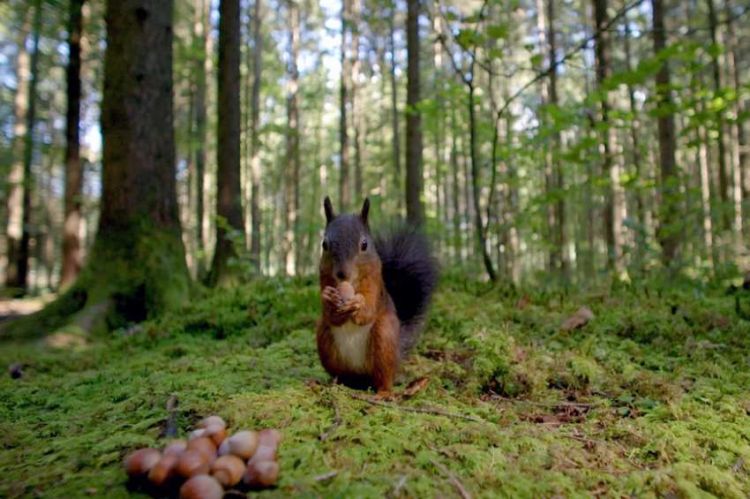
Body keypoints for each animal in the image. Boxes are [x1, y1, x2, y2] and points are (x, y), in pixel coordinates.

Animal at [318, 197, 440, 396]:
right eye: (324, 244)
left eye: (364, 244)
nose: (342, 274)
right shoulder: (323, 279)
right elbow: (331, 316)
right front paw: (329, 296)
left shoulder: (375, 287)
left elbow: (368, 312)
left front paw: (358, 303)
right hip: (324, 339)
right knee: (340, 374)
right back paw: (331, 383)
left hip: (384, 339)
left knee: (384, 378)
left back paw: (383, 394)